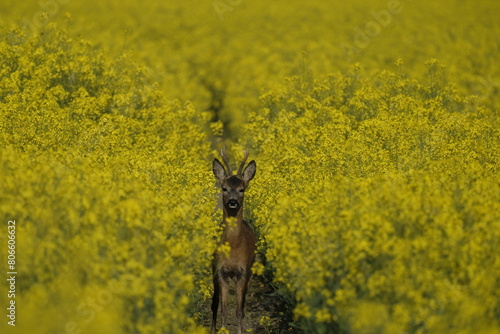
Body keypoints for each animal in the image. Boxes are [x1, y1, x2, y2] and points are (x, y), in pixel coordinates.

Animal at [211, 147, 258, 334]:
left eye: (241, 189)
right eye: (224, 188)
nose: (232, 201)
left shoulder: (244, 272)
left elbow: (239, 311)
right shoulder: (221, 271)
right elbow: (223, 309)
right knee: (214, 303)